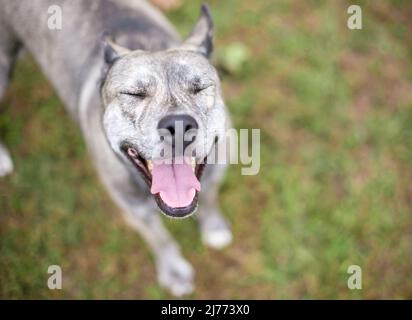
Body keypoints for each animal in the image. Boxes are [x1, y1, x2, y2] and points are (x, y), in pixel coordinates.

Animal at [0, 0, 232, 296]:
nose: (179, 126)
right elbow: (159, 239)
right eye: (134, 94)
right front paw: (174, 272)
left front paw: (214, 227)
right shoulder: (135, 209)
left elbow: (211, 198)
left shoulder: (216, 172)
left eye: (200, 88)